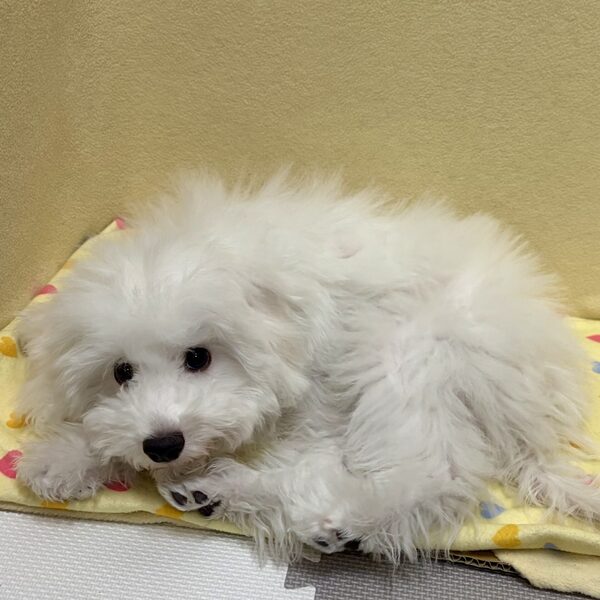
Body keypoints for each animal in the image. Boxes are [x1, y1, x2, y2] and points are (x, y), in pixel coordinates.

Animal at [15, 173, 599, 561]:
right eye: (121, 372)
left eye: (198, 357)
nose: (163, 445)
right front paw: (62, 460)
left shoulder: (316, 388)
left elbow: (304, 448)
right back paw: (213, 491)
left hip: (405, 356)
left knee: (431, 477)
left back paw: (308, 512)